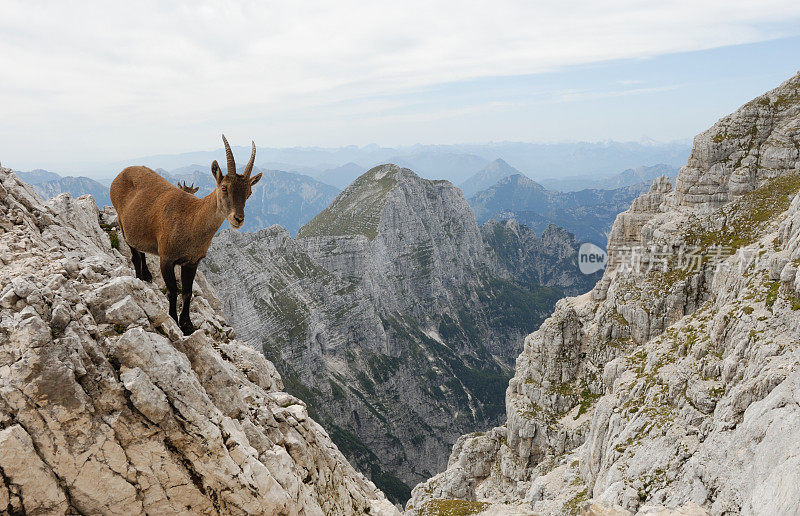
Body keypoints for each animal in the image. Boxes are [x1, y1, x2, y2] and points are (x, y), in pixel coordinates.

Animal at [110, 135, 262, 334]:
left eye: (249, 192)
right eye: (224, 187)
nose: (238, 219)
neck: (191, 222)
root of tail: (121, 173)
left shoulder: (192, 261)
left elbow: (188, 292)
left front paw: (188, 324)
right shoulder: (167, 258)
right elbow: (173, 290)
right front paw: (174, 320)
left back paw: (148, 275)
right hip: (122, 224)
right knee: (135, 255)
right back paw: (140, 277)